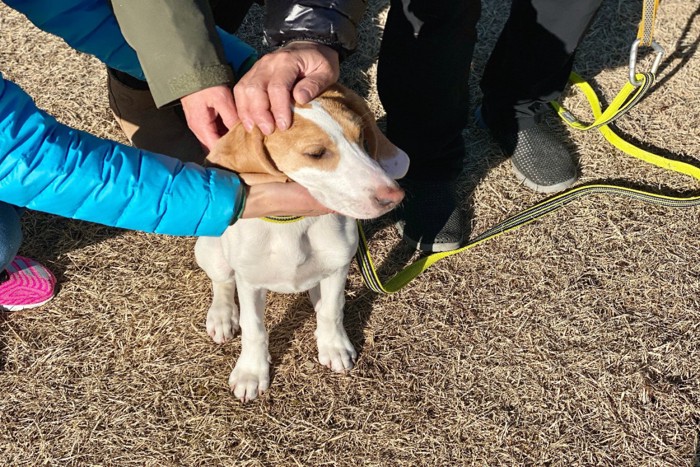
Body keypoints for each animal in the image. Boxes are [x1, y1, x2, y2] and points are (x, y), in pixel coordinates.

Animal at [194, 84, 408, 402]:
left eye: (362, 138)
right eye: (316, 153)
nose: (395, 196)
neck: (292, 226)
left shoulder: (338, 266)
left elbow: (332, 311)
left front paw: (334, 345)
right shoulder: (250, 282)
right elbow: (254, 328)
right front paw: (251, 372)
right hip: (210, 250)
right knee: (222, 282)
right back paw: (222, 316)